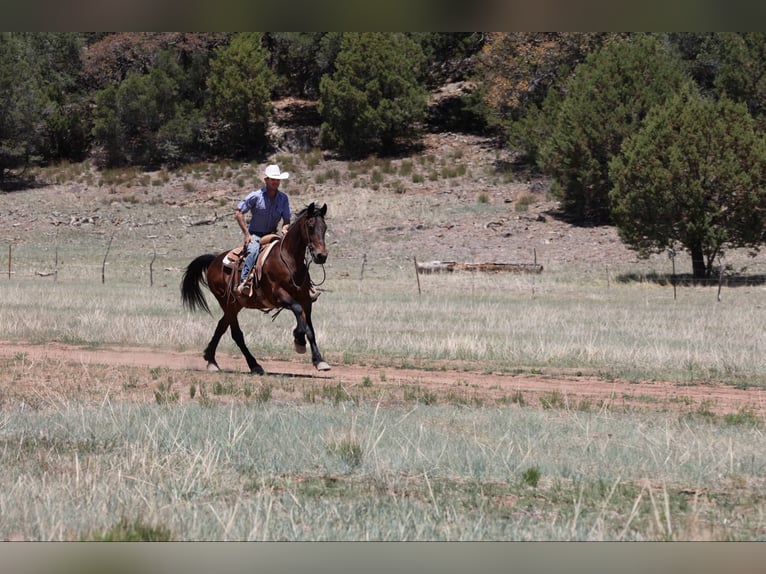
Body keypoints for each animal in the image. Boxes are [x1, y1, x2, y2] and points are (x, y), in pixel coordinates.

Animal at [181, 202, 330, 374]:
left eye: (325, 227)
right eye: (310, 225)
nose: (321, 256)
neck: (289, 261)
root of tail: (214, 260)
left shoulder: (306, 299)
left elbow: (310, 329)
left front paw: (319, 360)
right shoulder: (279, 295)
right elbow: (298, 312)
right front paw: (298, 339)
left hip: (236, 305)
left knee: (221, 327)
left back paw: (211, 360)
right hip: (227, 303)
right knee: (236, 334)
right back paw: (254, 365)